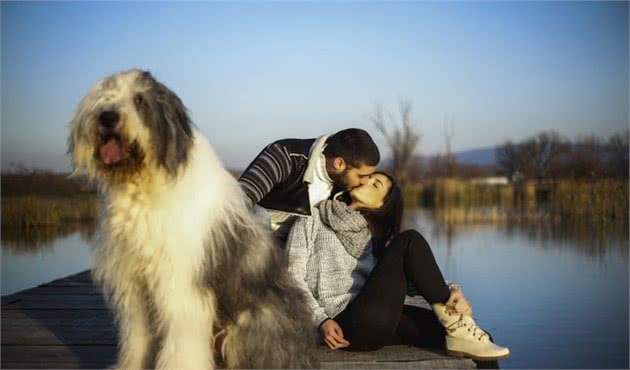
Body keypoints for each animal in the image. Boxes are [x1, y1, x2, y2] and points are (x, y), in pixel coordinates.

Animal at [68, 70, 320, 370]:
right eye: (106, 94)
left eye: (140, 99)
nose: (107, 117)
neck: (144, 185)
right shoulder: (134, 287)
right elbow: (137, 336)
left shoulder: (180, 285)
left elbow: (180, 346)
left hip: (254, 322)